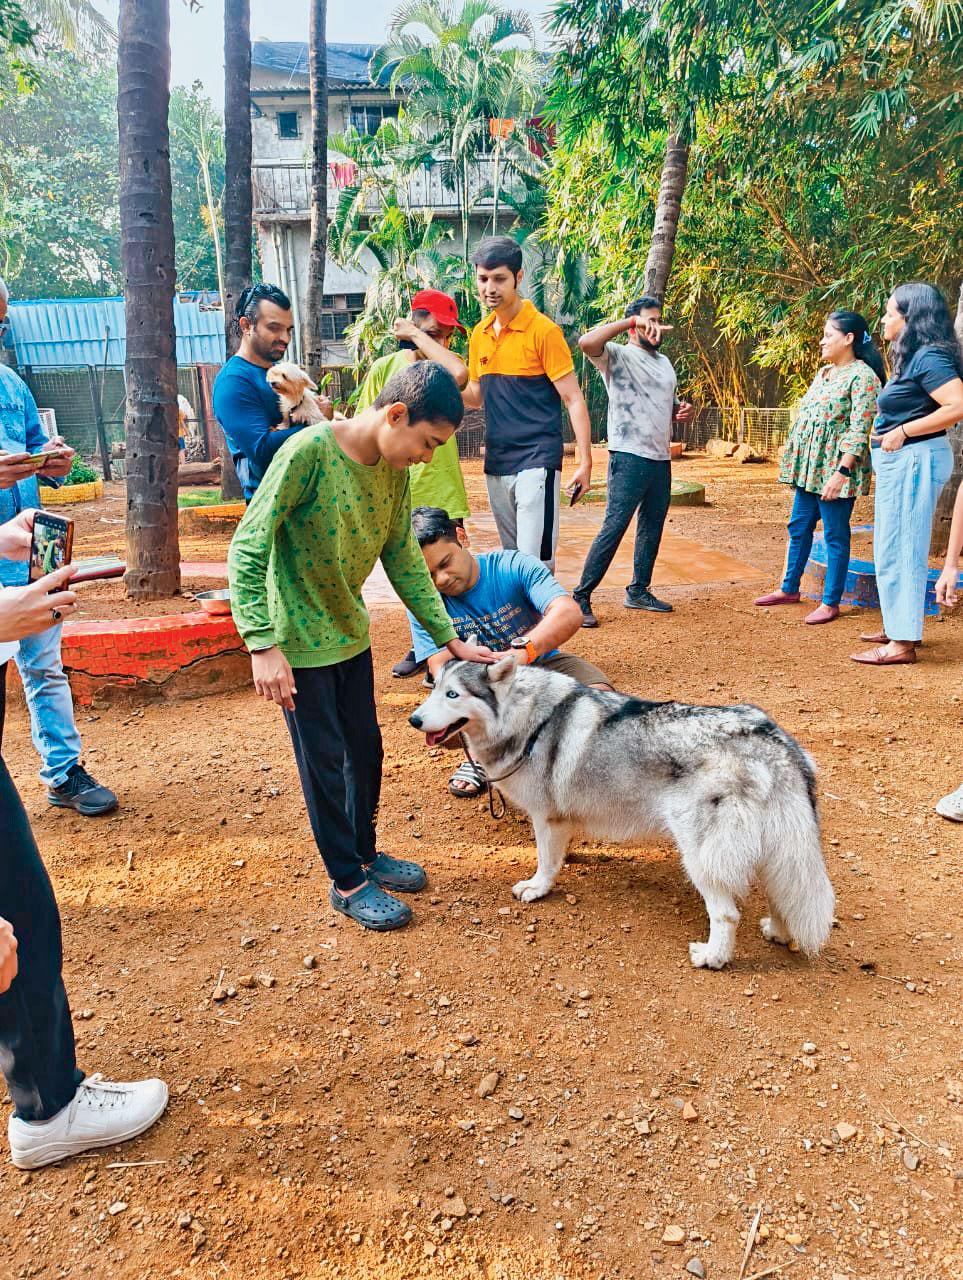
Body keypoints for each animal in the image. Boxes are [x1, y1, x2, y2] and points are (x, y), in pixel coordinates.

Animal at [409, 659, 835, 970]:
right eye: (433, 688)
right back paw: (778, 932)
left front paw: (538, 888)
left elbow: (545, 862)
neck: (526, 716)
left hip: (701, 856)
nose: (414, 720)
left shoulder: (546, 818)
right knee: (781, 895)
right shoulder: (562, 819)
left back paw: (713, 957)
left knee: (726, 914)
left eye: (453, 694)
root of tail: (774, 742)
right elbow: (560, 853)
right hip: (775, 852)